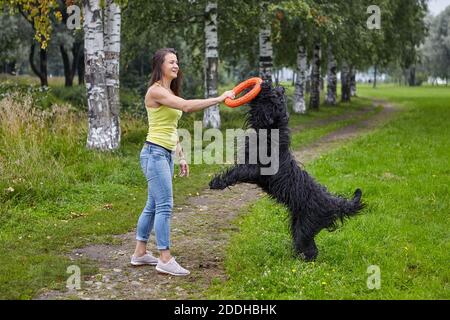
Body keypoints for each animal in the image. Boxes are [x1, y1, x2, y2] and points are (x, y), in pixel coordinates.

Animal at [210, 81, 366, 262]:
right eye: (276, 92)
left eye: (272, 95)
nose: (266, 82)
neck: (271, 132)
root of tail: (333, 203)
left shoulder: (253, 169)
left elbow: (234, 174)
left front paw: (216, 183)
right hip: (298, 222)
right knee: (309, 247)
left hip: (306, 225)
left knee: (309, 247)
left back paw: (299, 262)